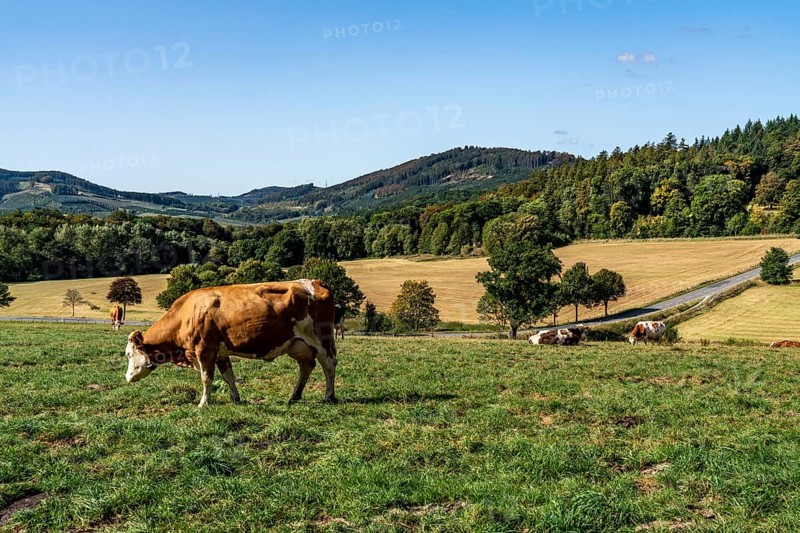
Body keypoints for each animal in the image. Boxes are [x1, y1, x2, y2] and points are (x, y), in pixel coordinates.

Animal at [123, 279, 338, 407]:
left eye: (129, 354)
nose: (126, 377)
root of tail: (314, 282)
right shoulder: (221, 353)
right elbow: (228, 377)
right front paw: (236, 399)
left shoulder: (205, 350)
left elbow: (206, 378)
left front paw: (203, 403)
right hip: (298, 344)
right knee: (306, 366)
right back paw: (294, 396)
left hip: (321, 340)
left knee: (329, 365)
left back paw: (329, 396)